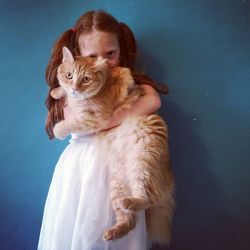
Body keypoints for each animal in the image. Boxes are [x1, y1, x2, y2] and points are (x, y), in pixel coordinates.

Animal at [51, 46, 176, 244]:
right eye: (69, 75)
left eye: (85, 79)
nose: (76, 89)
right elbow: (64, 92)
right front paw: (57, 91)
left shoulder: (94, 118)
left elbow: (69, 123)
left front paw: (58, 130)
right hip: (118, 184)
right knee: (130, 221)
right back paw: (113, 232)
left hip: (142, 162)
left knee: (149, 198)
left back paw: (131, 202)